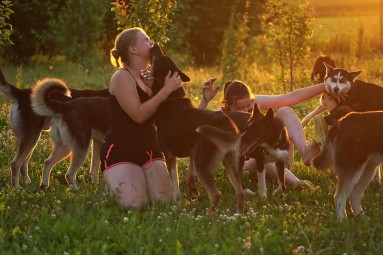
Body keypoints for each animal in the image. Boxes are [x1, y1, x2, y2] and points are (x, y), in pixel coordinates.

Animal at [151, 44, 246, 214]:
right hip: (230, 161)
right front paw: (192, 189)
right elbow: (188, 174)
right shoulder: (192, 151)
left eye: (159, 57)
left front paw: (176, 204)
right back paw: (238, 216)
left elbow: (174, 185)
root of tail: (229, 127)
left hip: (203, 164)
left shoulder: (170, 155)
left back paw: (208, 216)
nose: (155, 45)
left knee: (216, 195)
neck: (171, 96)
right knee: (240, 192)